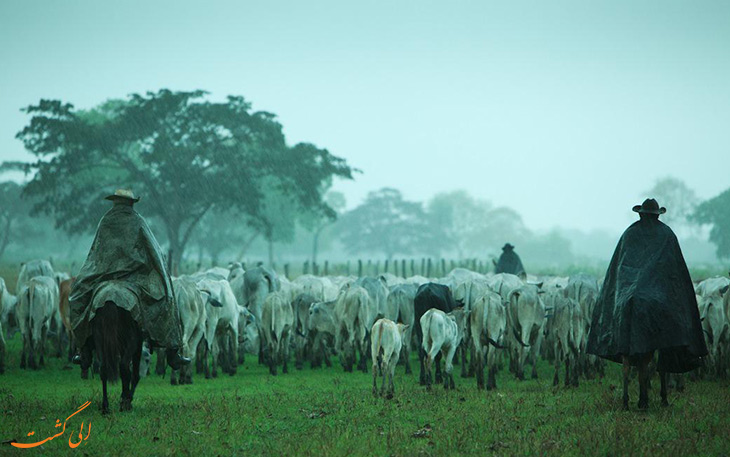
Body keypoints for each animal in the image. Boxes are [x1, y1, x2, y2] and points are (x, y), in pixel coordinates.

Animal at [89, 282, 144, 414]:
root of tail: (110, 300)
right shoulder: (138, 342)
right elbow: (135, 374)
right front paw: (127, 400)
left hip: (99, 337)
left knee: (104, 368)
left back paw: (105, 406)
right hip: (132, 339)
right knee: (124, 367)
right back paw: (125, 403)